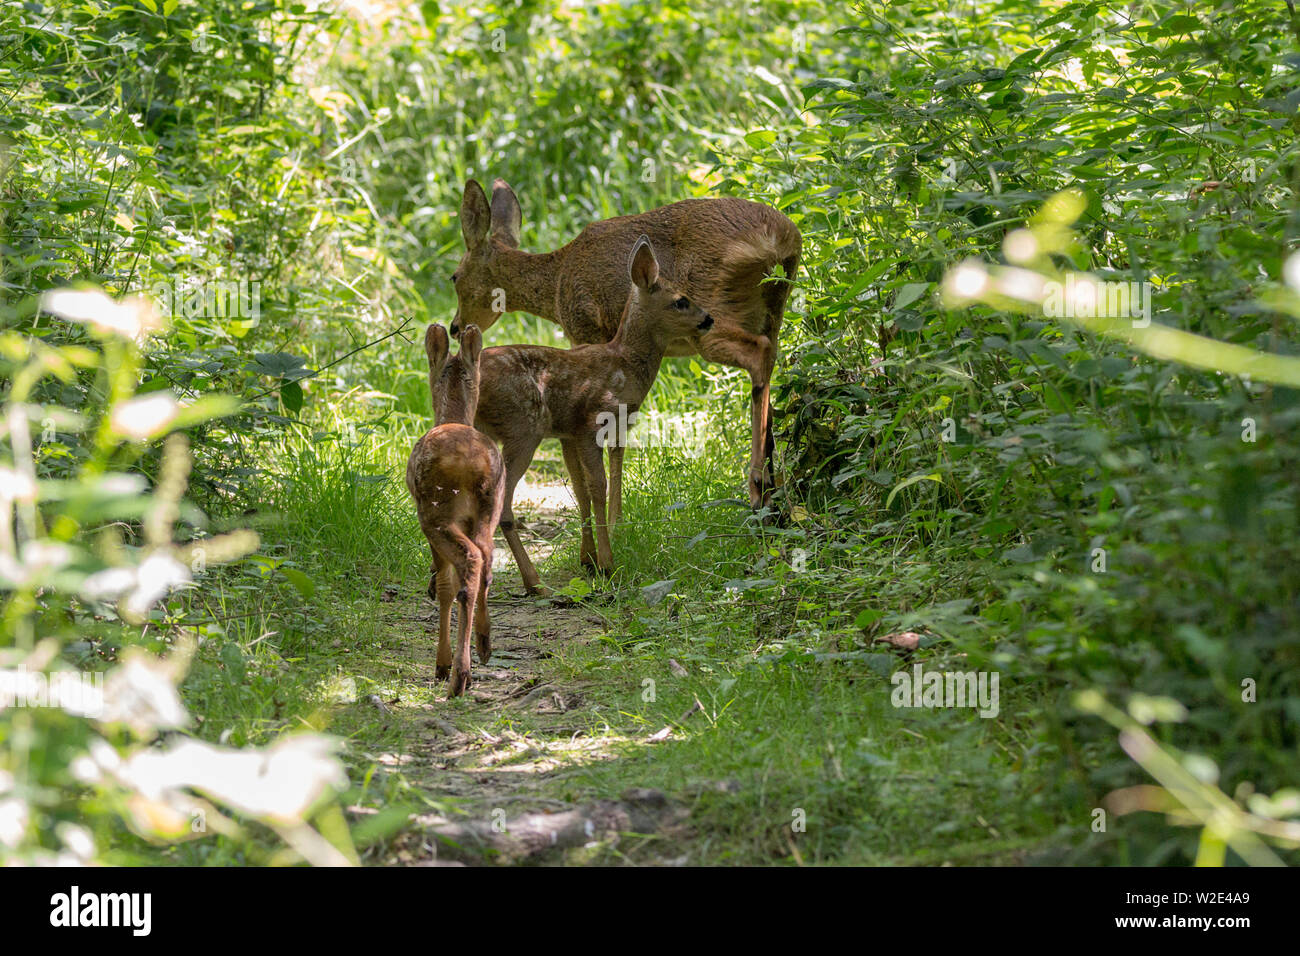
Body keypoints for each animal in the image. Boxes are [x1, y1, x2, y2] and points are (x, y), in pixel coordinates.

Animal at [405, 325, 501, 697]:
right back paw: (484, 646)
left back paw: (459, 675)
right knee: (487, 559)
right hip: (491, 507)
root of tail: (474, 466)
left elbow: (444, 586)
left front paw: (441, 664)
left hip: (435, 512)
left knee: (470, 562)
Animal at [449, 179, 800, 522]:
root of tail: (782, 239)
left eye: (454, 277)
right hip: (772, 313)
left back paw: (758, 487)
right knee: (770, 370)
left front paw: (611, 519)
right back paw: (775, 496)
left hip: (711, 310)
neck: (557, 281)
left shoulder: (587, 330)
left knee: (758, 354)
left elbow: (610, 436)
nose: (455, 326)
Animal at [467, 234, 712, 590]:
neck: (624, 364)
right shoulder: (590, 422)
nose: (709, 319)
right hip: (524, 427)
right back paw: (533, 581)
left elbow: (581, 489)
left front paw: (590, 560)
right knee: (503, 504)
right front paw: (608, 563)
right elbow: (598, 487)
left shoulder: (569, 432)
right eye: (681, 301)